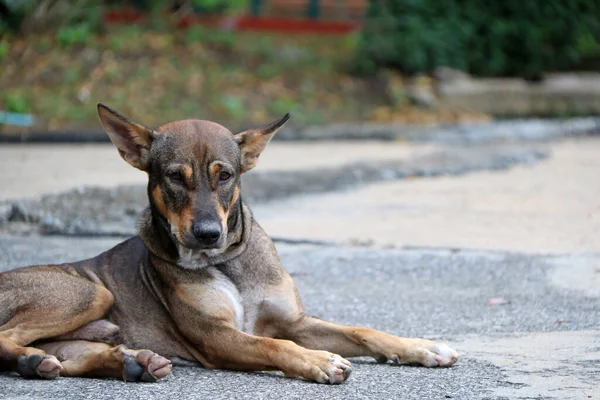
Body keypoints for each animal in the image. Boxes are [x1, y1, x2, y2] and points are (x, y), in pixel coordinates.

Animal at [0, 104, 458, 384]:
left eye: (225, 176)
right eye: (174, 177)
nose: (207, 234)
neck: (227, 262)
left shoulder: (295, 321)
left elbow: (362, 330)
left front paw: (420, 347)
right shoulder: (218, 337)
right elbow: (274, 344)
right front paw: (316, 361)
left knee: (71, 356)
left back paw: (122, 362)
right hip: (89, 292)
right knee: (10, 335)